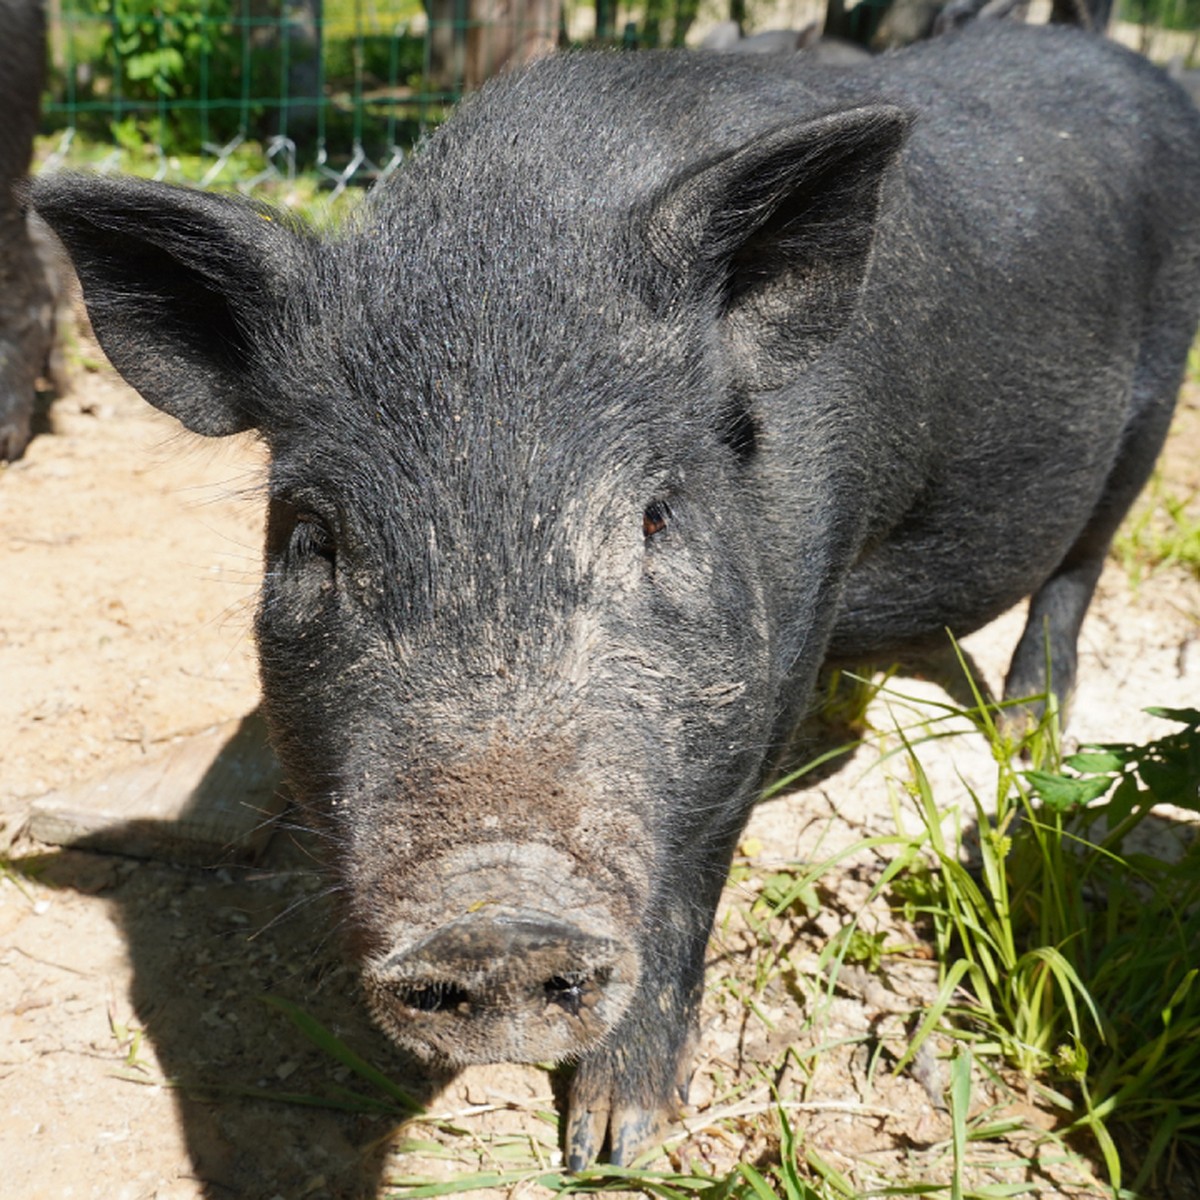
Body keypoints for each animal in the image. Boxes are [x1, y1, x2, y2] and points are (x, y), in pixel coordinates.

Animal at [30, 16, 1200, 1161]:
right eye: (312, 539)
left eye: (656, 516)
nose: (493, 919)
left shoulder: (787, 632)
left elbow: (696, 869)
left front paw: (612, 1142)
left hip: (1152, 406)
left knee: (1080, 568)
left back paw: (1029, 737)